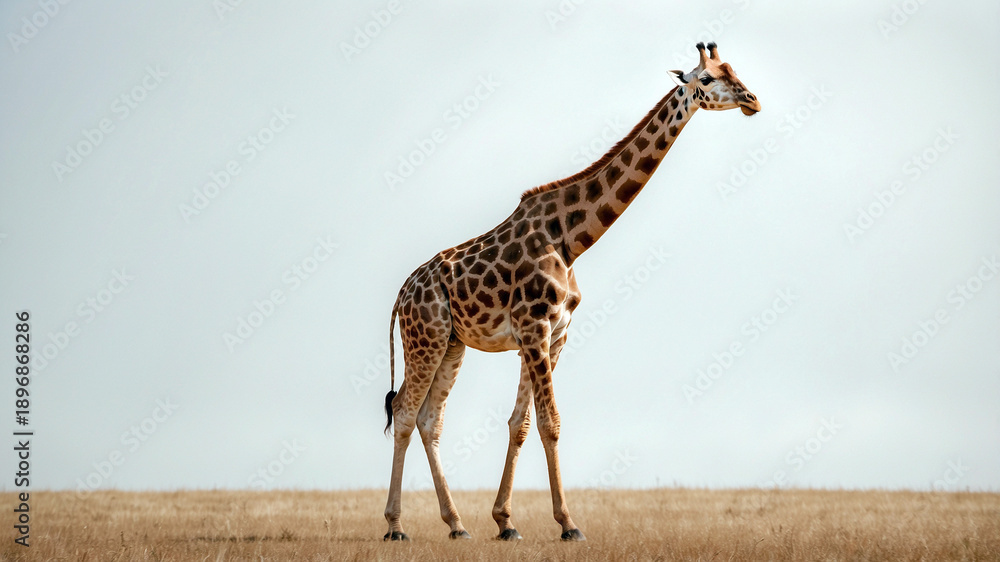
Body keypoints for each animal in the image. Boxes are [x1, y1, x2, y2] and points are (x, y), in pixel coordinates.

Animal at [381, 42, 760, 542]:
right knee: (405, 412)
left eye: (734, 69)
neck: (571, 239)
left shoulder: (554, 333)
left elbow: (521, 424)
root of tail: (401, 296)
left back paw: (457, 524)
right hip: (424, 338)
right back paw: (395, 526)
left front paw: (506, 522)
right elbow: (551, 423)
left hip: (451, 344)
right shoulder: (535, 328)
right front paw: (568, 523)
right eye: (707, 79)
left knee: (428, 419)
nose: (753, 100)